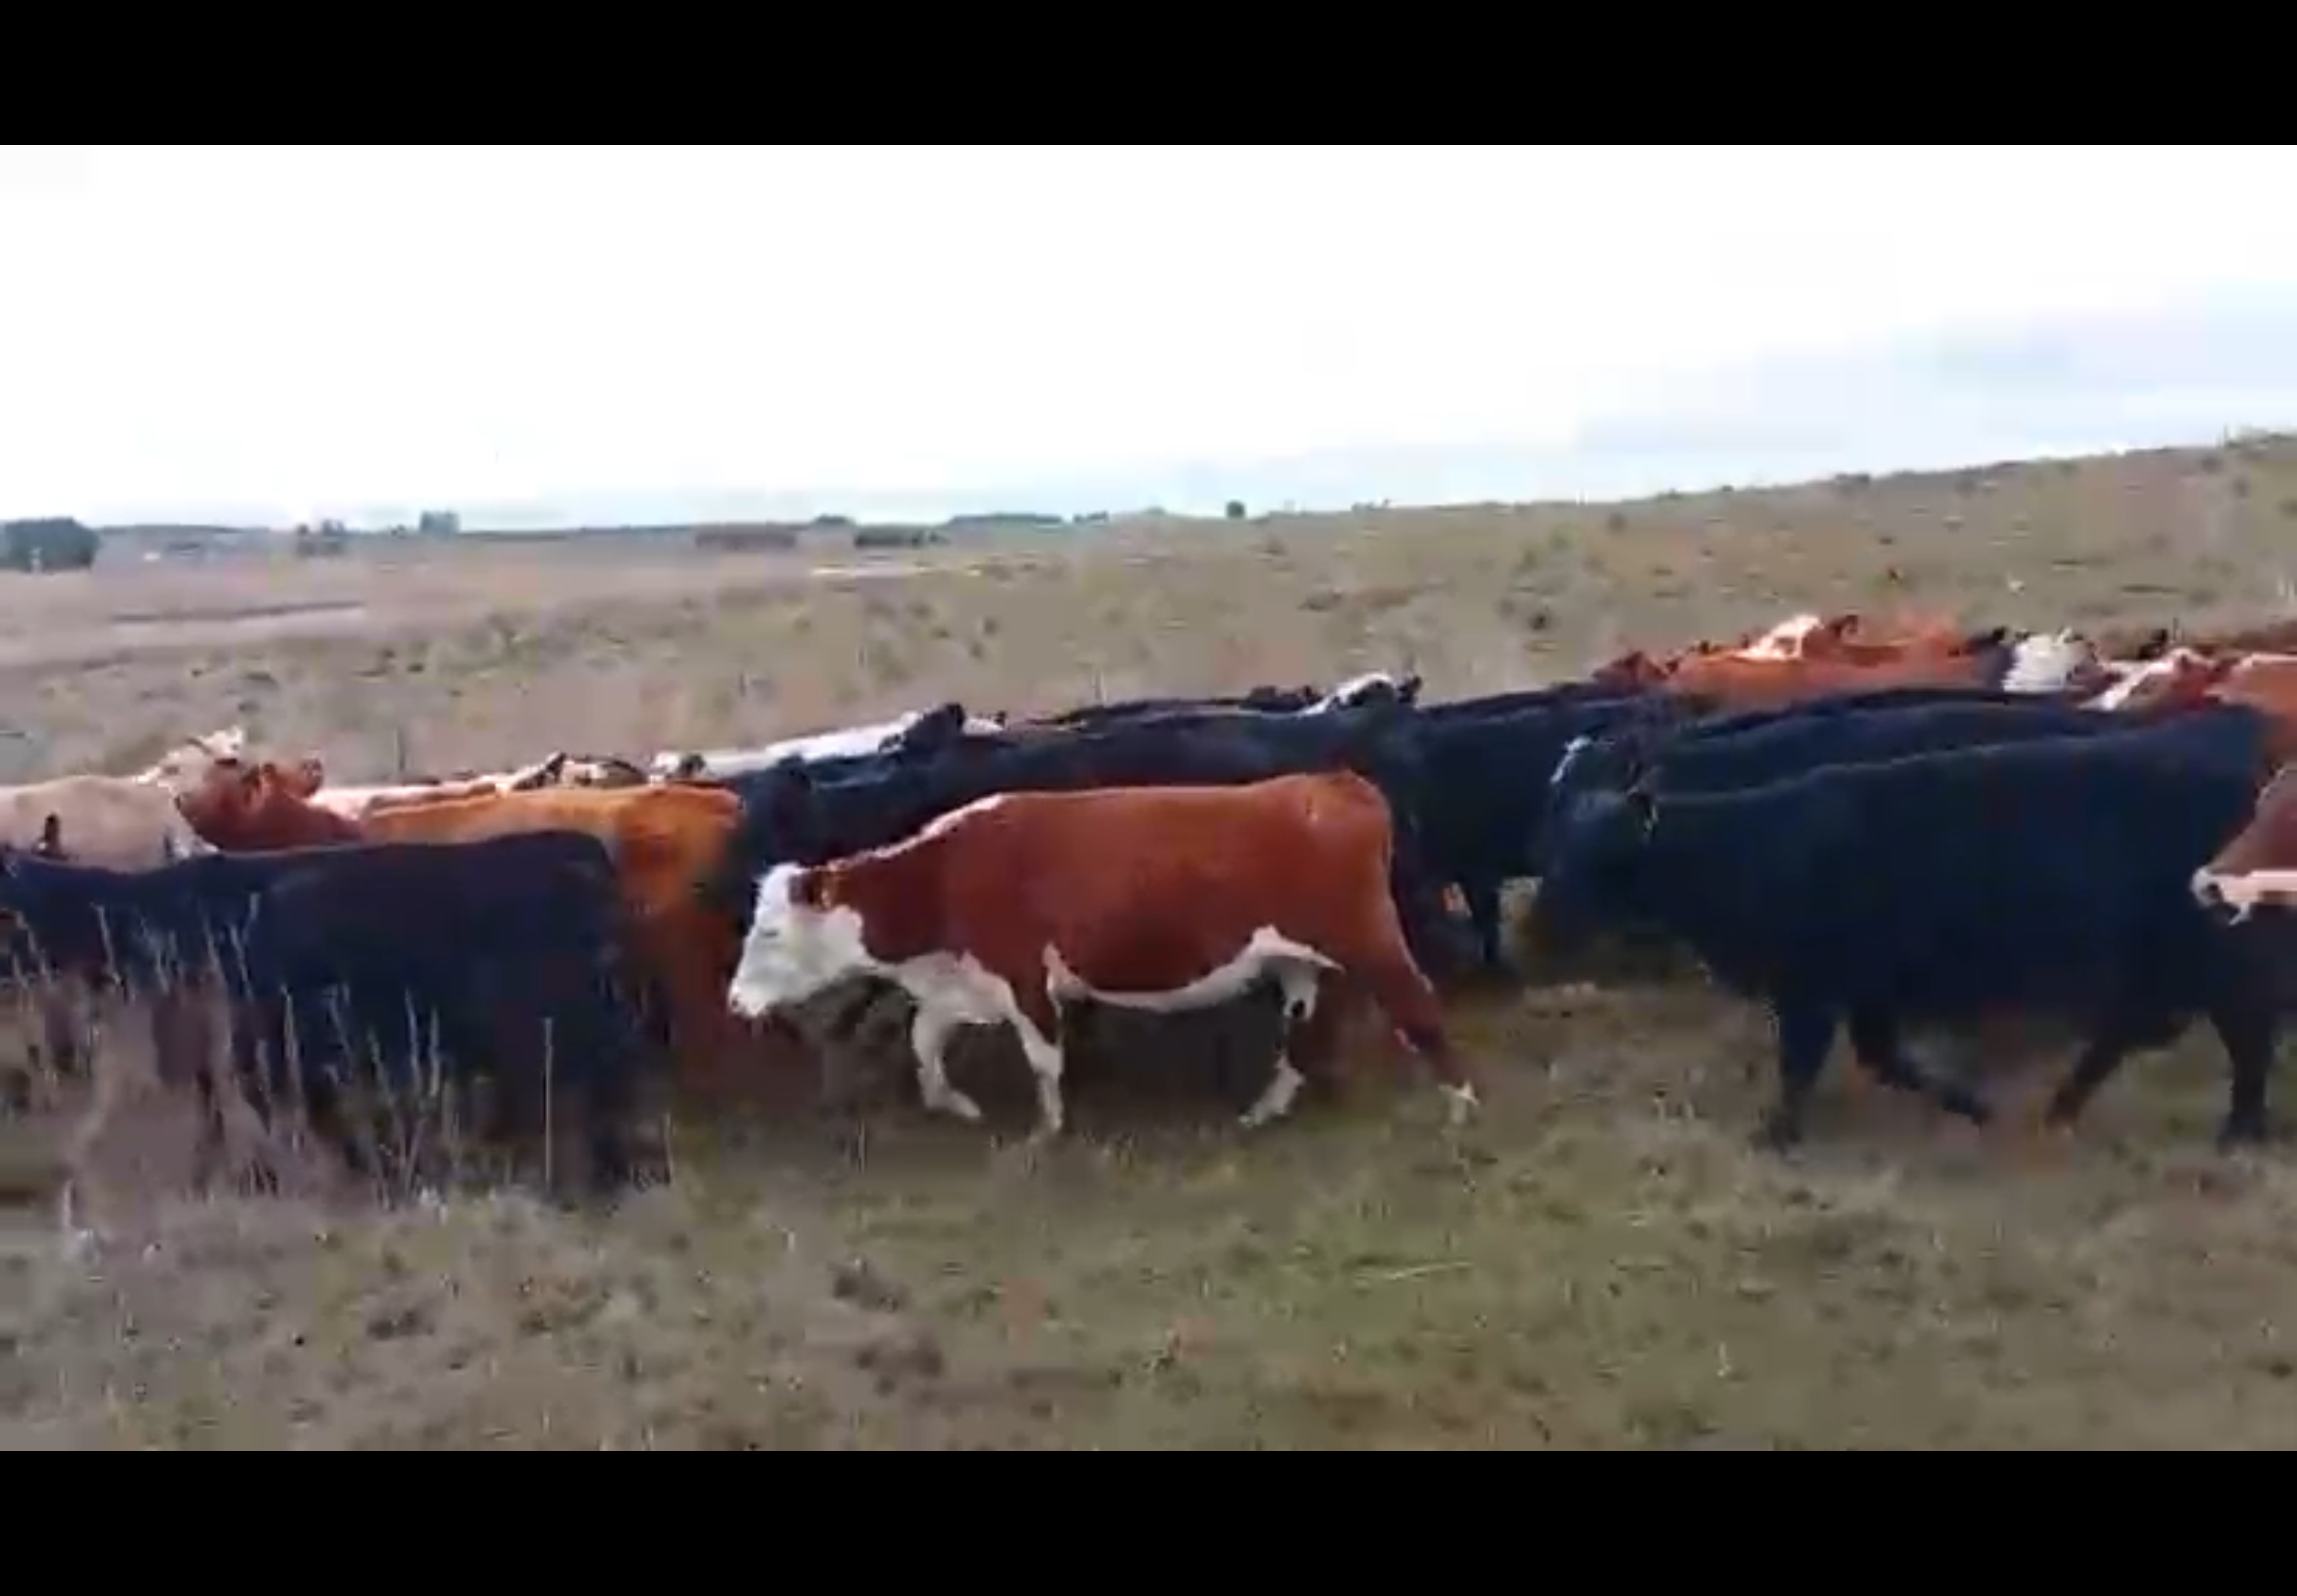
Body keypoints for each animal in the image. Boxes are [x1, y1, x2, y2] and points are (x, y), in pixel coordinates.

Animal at [724, 772, 1471, 1140]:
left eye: (770, 933)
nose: (734, 1001)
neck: (943, 873)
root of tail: (1336, 783)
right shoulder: (960, 984)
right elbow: (924, 1040)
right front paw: (951, 1103)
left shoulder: (1022, 976)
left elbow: (1043, 1058)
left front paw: (1049, 1132)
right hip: (1300, 961)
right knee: (1304, 1029)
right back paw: (1265, 1110)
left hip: (1367, 938)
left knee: (1420, 1007)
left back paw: (1461, 1109)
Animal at [1533, 707, 2280, 1151]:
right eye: (1558, 837)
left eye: (1596, 858)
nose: (1538, 931)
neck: (1747, 844)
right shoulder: (1866, 991)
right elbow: (1884, 1059)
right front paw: (1971, 1107)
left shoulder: (1813, 991)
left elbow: (1805, 1066)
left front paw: (1776, 1135)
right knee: (2141, 1033)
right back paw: (2064, 1111)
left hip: (2210, 960)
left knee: (2242, 1038)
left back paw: (2235, 1133)